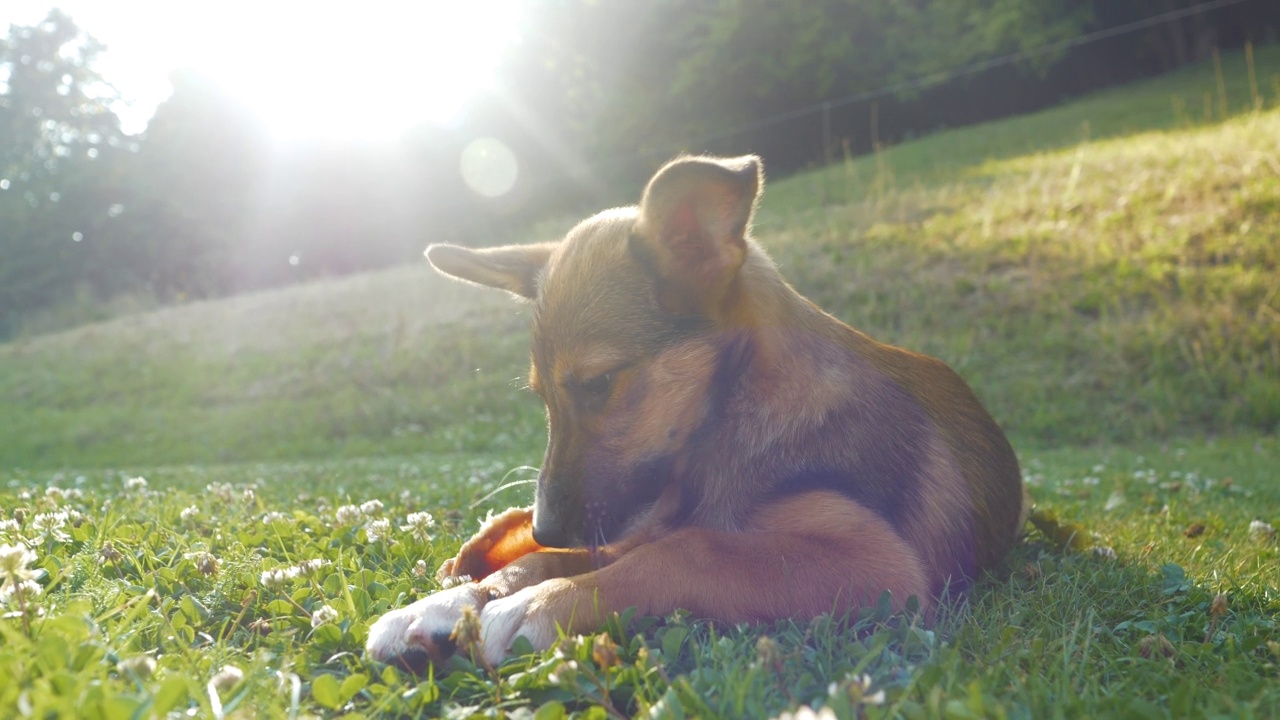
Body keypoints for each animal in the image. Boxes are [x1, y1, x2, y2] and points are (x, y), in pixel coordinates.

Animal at [366, 154, 1024, 671]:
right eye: (540, 396)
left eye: (598, 384)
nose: (548, 524)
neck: (733, 422)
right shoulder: (637, 517)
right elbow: (556, 558)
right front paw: (443, 605)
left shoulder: (882, 568)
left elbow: (691, 550)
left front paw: (537, 604)